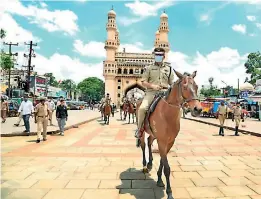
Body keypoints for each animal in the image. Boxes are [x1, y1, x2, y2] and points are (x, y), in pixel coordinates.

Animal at [135, 70, 202, 199]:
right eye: (184, 87)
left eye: (196, 86)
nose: (198, 109)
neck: (167, 114)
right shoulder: (162, 141)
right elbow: (166, 167)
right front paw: (169, 192)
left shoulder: (170, 141)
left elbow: (162, 160)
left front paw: (159, 179)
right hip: (141, 127)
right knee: (143, 145)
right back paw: (145, 165)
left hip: (154, 134)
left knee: (149, 141)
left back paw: (150, 163)